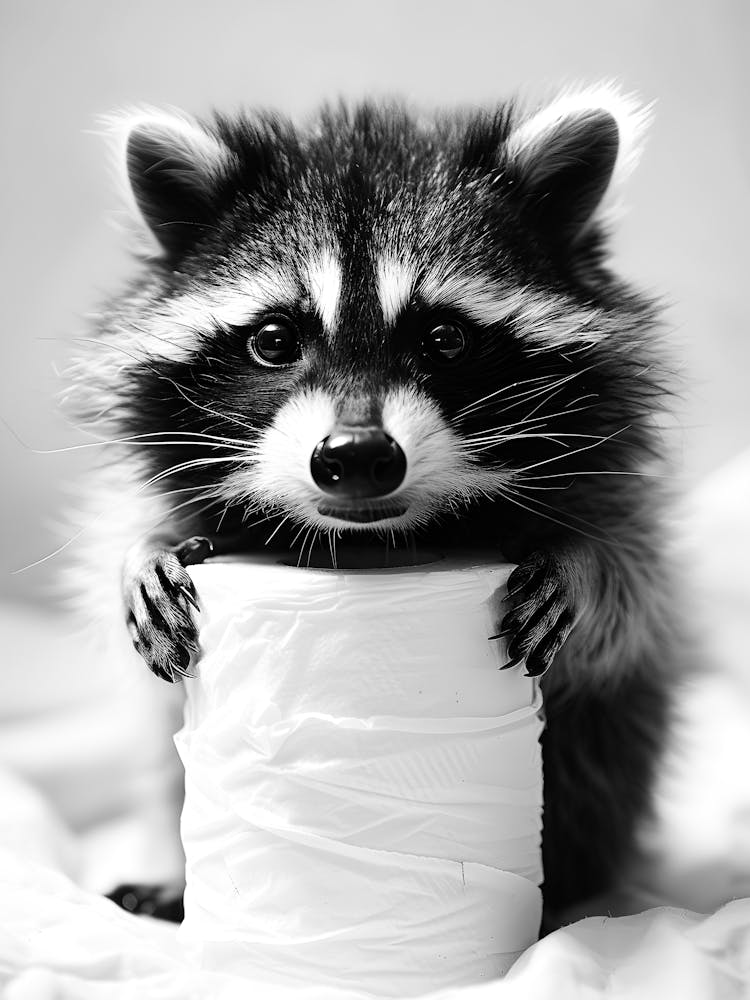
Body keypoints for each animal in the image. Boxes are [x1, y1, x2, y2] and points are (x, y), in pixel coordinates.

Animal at [68, 85, 678, 925]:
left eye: (445, 338)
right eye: (274, 340)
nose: (356, 458)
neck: (371, 540)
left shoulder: (614, 488)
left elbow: (634, 590)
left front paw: (581, 563)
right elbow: (124, 540)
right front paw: (143, 554)